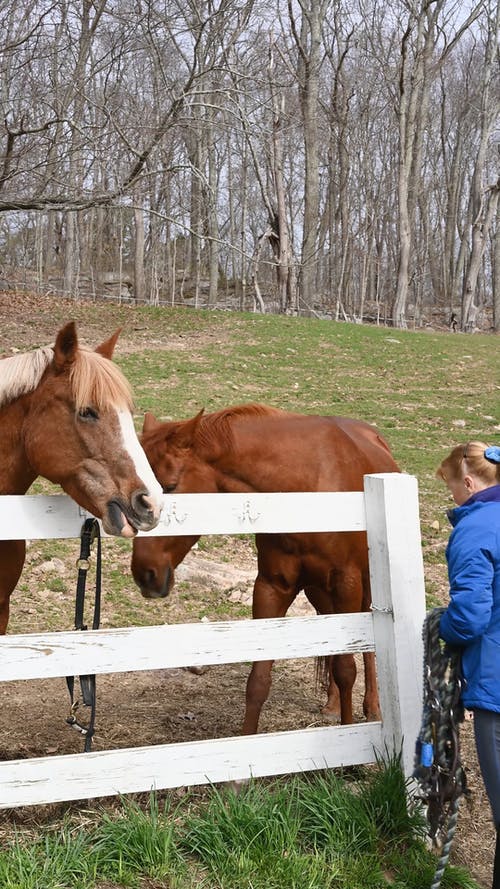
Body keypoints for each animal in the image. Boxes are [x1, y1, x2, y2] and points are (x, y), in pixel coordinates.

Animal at [131, 406, 400, 732]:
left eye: (169, 487)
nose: (145, 573)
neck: (305, 488)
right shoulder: (271, 587)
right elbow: (258, 681)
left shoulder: (346, 583)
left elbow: (347, 669)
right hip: (318, 592)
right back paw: (333, 704)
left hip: (363, 585)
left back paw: (373, 707)